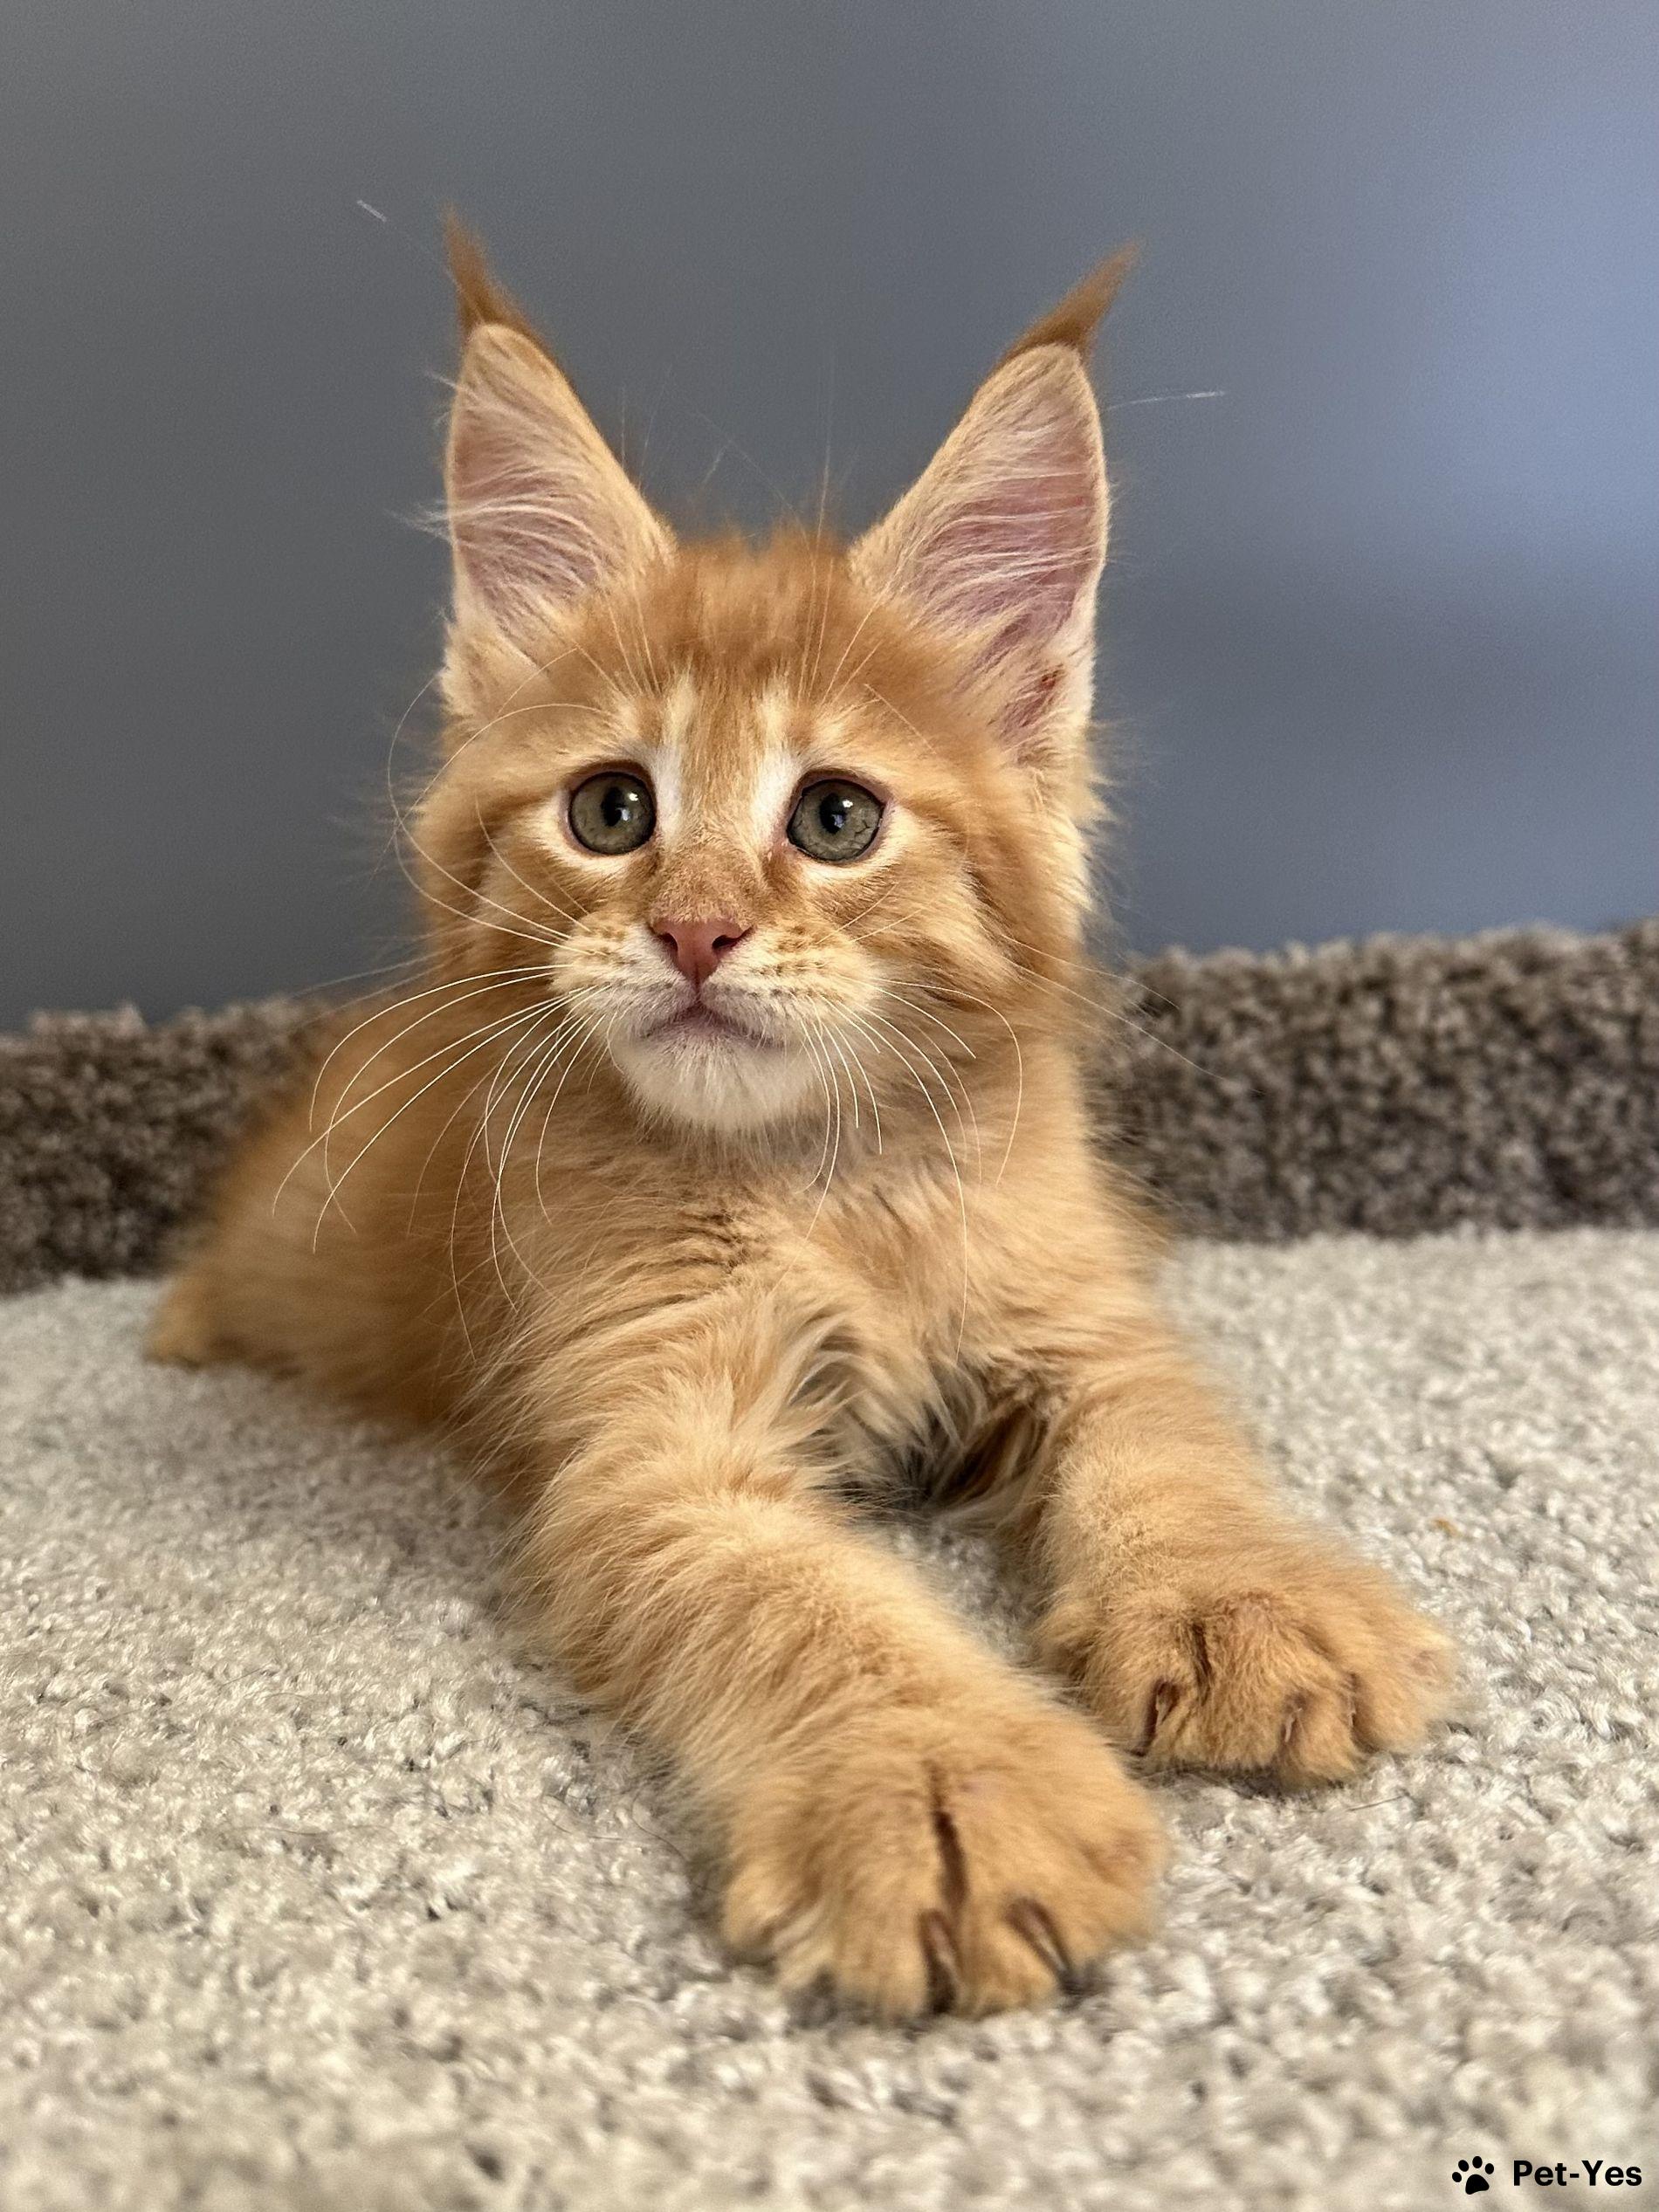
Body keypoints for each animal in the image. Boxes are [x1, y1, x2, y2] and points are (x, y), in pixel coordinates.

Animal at [150, 225, 1453, 2018]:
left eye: (835, 817)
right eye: (612, 809)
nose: (696, 929)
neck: (836, 1181)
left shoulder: (1082, 1312)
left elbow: (1168, 1444)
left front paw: (1241, 1599)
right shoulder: (655, 1446)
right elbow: (807, 1599)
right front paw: (945, 1781)